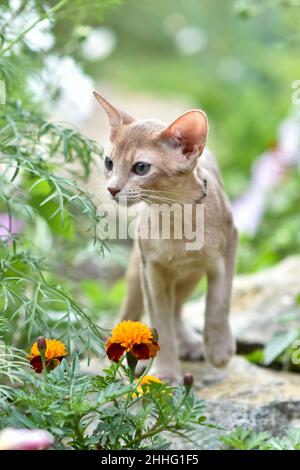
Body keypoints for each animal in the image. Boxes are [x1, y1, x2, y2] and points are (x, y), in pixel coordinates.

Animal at [94, 90, 239, 384]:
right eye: (109, 162)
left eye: (141, 168)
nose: (112, 188)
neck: (175, 218)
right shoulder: (152, 270)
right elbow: (159, 320)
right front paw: (165, 373)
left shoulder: (227, 249)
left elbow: (218, 302)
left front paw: (218, 348)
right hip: (138, 274)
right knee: (133, 314)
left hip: (190, 274)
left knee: (177, 308)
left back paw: (190, 343)